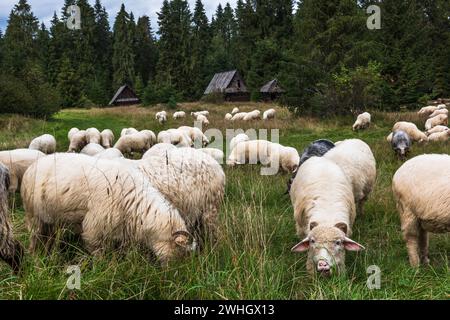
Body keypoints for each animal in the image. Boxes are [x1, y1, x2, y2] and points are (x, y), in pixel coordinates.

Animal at [21, 154, 195, 264]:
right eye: (182, 252)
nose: (180, 276)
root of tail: (32, 166)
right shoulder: (94, 230)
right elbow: (99, 254)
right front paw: (103, 267)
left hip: (49, 219)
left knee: (47, 238)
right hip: (33, 216)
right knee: (34, 239)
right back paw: (36, 259)